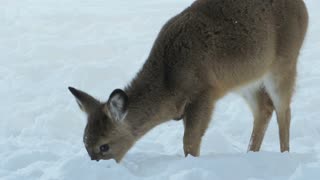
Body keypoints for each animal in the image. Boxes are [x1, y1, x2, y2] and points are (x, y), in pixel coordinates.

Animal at [68, 0, 308, 163]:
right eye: (85, 143)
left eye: (104, 146)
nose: (96, 167)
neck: (168, 83)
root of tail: (303, 7)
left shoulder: (204, 93)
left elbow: (190, 142)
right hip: (246, 79)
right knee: (264, 109)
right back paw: (250, 154)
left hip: (285, 61)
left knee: (283, 110)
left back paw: (284, 156)